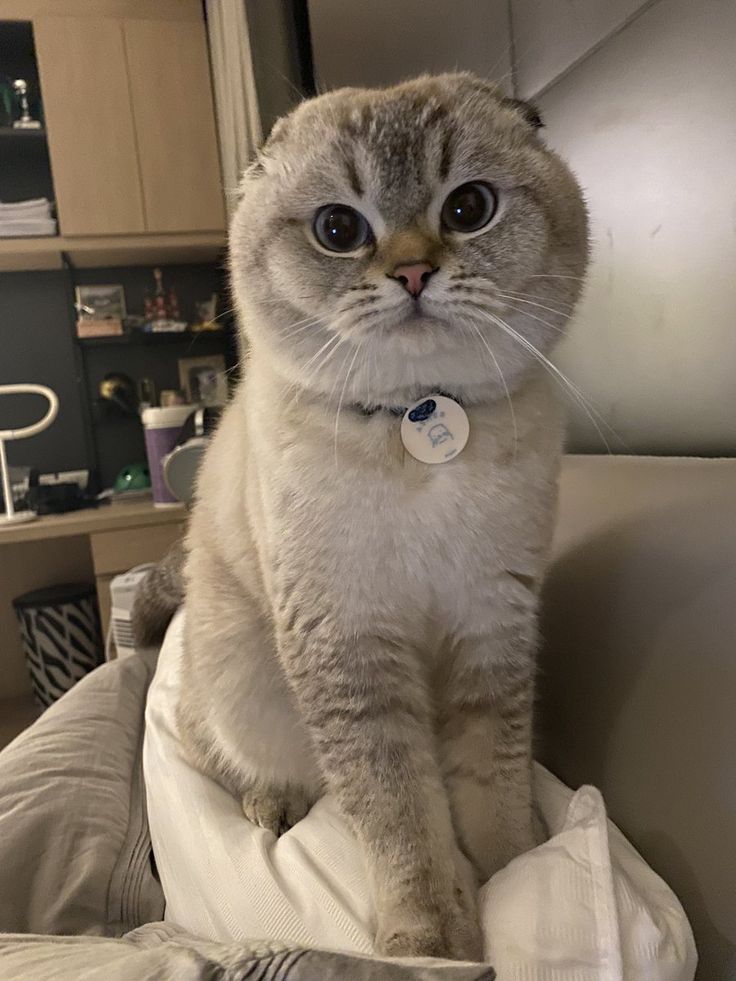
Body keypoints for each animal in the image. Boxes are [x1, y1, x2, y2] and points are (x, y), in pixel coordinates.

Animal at [135, 72, 588, 960]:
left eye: (469, 207)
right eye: (339, 229)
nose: (412, 272)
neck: (419, 416)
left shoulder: (490, 626)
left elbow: (491, 792)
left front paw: (514, 873)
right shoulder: (350, 644)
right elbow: (400, 813)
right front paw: (431, 939)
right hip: (240, 672)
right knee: (228, 755)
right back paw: (270, 805)